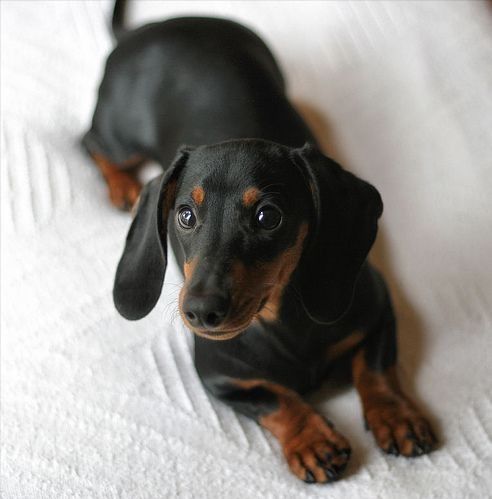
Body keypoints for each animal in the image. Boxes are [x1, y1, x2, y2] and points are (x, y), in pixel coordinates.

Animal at [82, 0, 436, 484]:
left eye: (269, 216)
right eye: (185, 216)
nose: (200, 311)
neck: (279, 321)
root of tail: (150, 28)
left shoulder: (378, 307)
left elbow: (377, 368)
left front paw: (396, 415)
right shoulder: (219, 378)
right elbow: (274, 398)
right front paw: (313, 440)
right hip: (121, 137)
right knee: (91, 142)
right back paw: (121, 186)